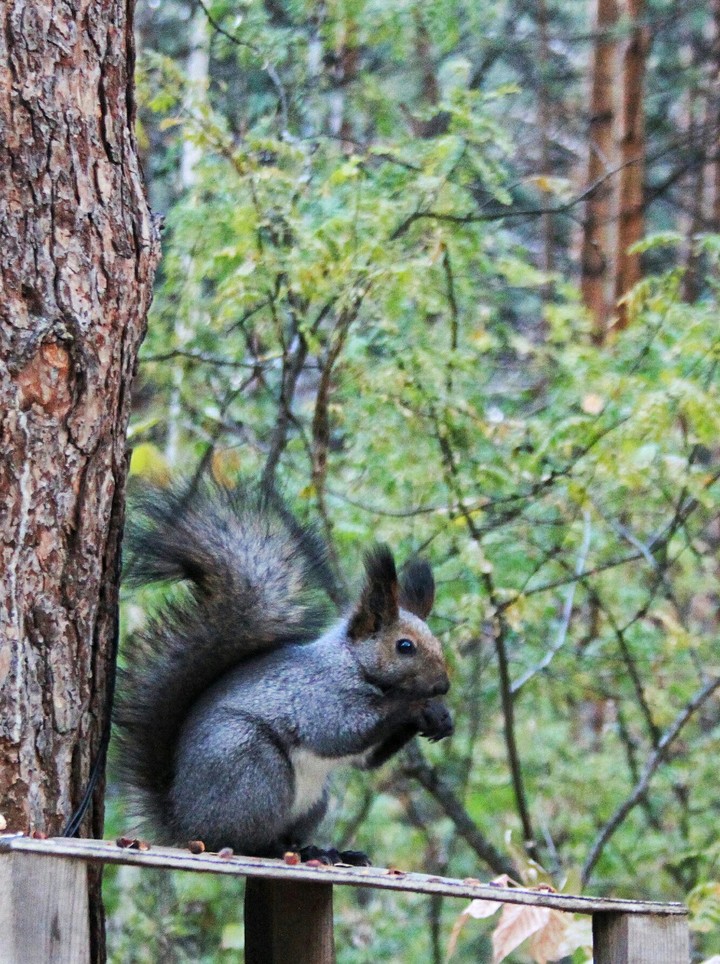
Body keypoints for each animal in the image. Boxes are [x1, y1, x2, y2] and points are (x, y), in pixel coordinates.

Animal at [115, 481, 453, 864]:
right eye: (404, 646)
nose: (443, 686)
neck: (351, 662)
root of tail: (185, 822)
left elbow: (366, 758)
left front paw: (440, 718)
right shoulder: (318, 695)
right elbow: (341, 732)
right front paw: (415, 703)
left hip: (312, 801)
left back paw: (320, 850)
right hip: (253, 770)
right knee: (240, 840)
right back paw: (274, 848)